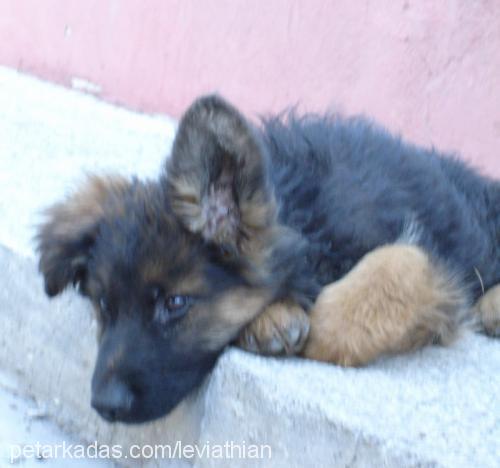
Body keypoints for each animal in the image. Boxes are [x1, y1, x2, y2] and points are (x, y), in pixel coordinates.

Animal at [36, 95, 500, 424]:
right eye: (103, 305)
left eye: (175, 303)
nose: (104, 406)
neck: (305, 216)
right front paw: (271, 317)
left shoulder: (434, 260)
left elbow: (396, 265)